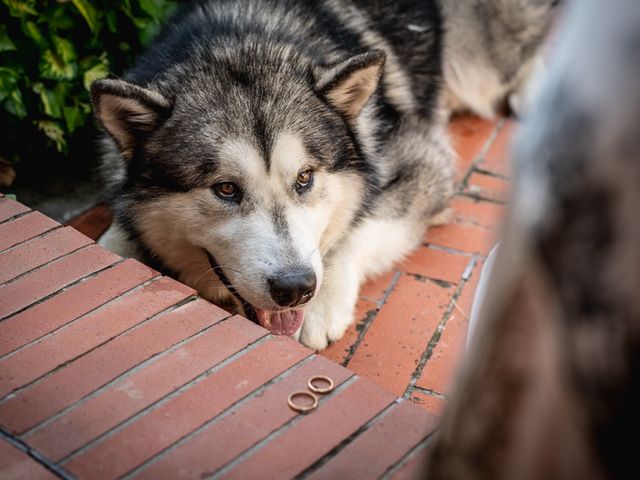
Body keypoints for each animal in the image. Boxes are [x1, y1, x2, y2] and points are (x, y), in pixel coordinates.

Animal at [92, 0, 556, 348]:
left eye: (304, 178)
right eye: (225, 189)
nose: (295, 288)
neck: (238, 37)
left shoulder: (425, 161)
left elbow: (359, 227)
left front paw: (320, 304)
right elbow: (109, 243)